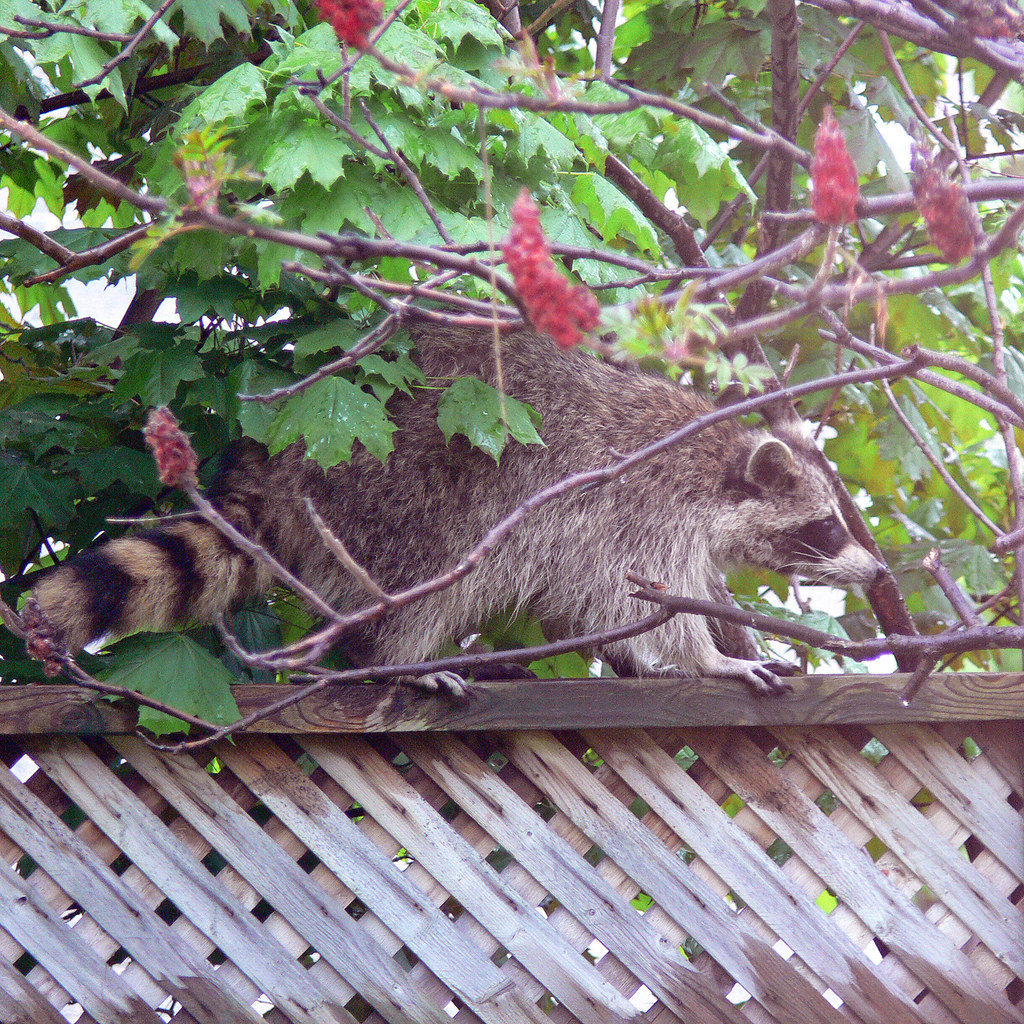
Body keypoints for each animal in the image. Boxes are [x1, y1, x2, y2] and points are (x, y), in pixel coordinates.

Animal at [30, 327, 882, 695]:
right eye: (826, 526)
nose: (877, 571)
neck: (716, 463)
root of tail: (281, 451)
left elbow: (617, 598)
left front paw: (683, 643)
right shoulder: (637, 507)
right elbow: (646, 601)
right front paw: (707, 657)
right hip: (400, 495)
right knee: (420, 579)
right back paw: (393, 658)